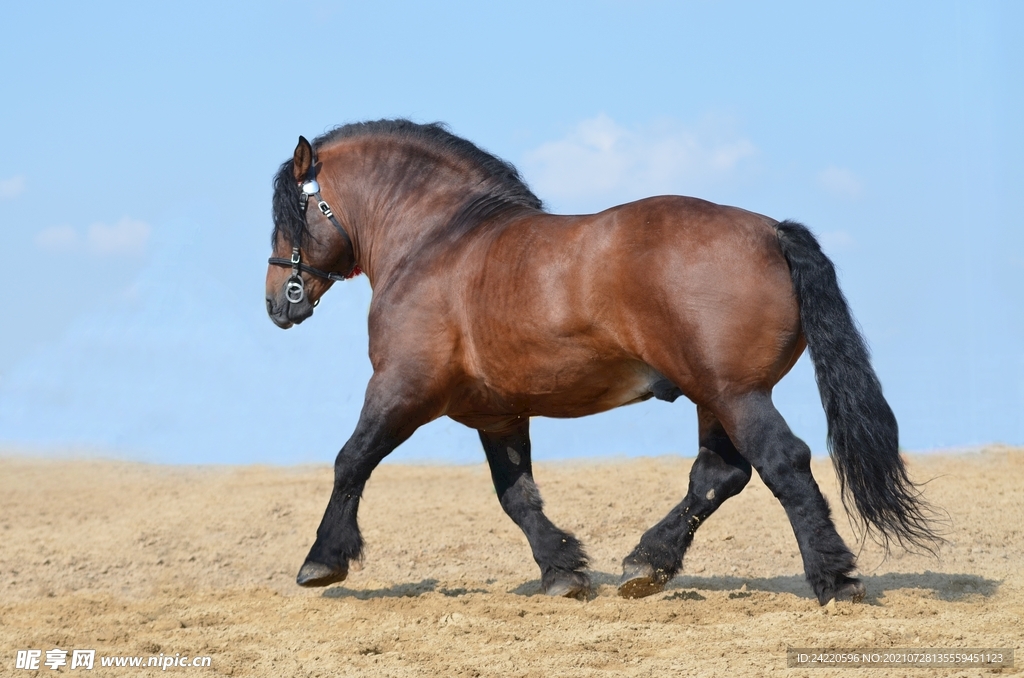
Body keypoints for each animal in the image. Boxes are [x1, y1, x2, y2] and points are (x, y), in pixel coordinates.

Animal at [264, 119, 938, 604]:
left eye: (287, 214)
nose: (277, 302)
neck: (439, 242)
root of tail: (772, 231)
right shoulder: (497, 414)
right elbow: (517, 496)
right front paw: (563, 570)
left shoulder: (403, 388)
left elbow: (351, 460)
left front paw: (322, 560)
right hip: (715, 397)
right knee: (718, 475)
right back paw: (646, 563)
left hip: (736, 393)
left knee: (783, 464)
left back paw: (834, 579)